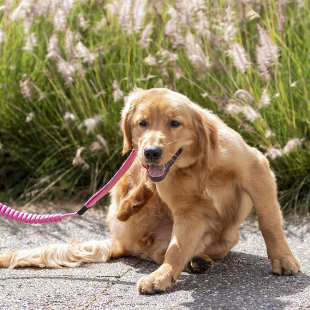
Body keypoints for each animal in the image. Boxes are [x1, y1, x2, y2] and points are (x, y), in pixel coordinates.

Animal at [0, 86, 300, 294]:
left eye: (175, 123)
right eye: (141, 123)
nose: (152, 152)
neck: (197, 167)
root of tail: (122, 241)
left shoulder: (257, 171)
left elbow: (269, 221)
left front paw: (283, 258)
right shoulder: (189, 213)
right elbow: (175, 251)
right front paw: (163, 277)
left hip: (227, 235)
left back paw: (198, 259)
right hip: (130, 172)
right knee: (129, 213)